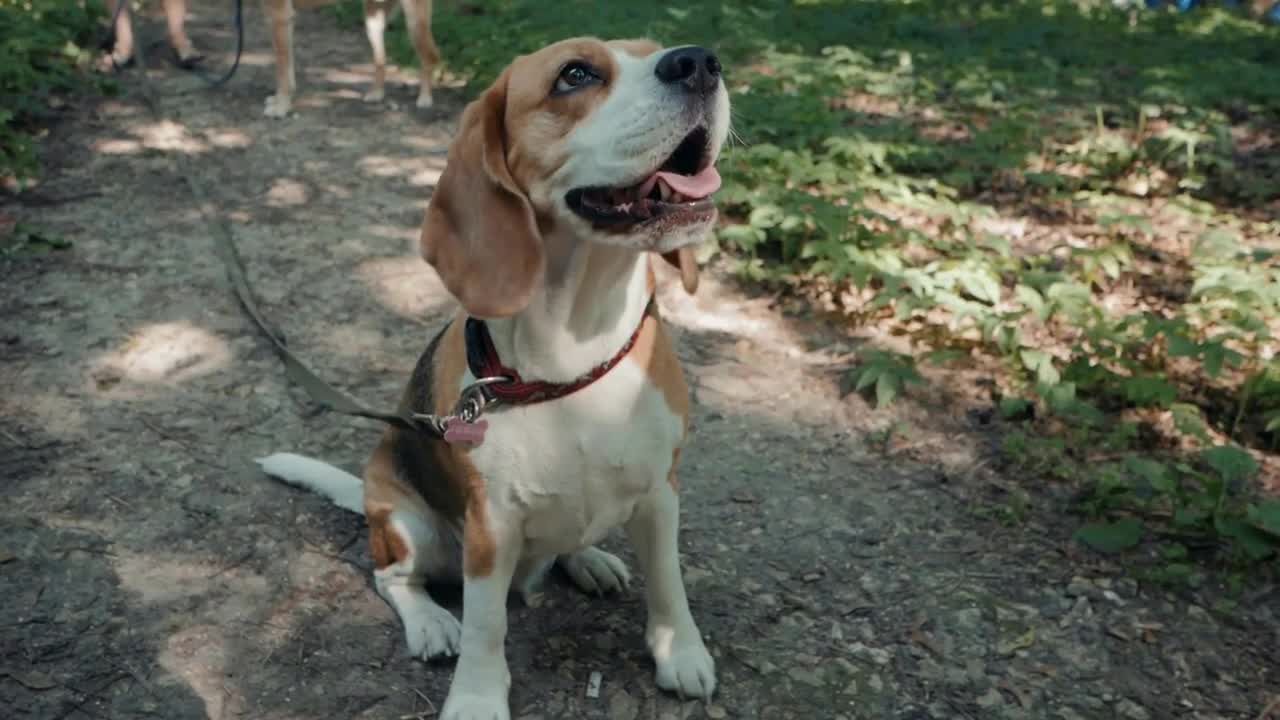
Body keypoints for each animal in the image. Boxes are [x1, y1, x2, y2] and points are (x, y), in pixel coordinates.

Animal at [257, 35, 732, 717]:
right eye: (575, 75)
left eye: (655, 51)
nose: (699, 61)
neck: (576, 353)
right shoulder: (490, 527)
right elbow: (487, 623)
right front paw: (478, 697)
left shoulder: (661, 490)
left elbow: (668, 580)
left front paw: (680, 651)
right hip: (405, 522)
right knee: (393, 577)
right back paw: (429, 621)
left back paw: (587, 559)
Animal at [259, 0, 440, 117]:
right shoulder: (281, 18)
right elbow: (287, 67)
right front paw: (280, 100)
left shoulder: (280, 16)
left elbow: (282, 69)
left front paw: (281, 108)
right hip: (373, 21)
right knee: (381, 61)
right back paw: (376, 94)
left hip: (414, 21)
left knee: (431, 57)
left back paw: (425, 99)